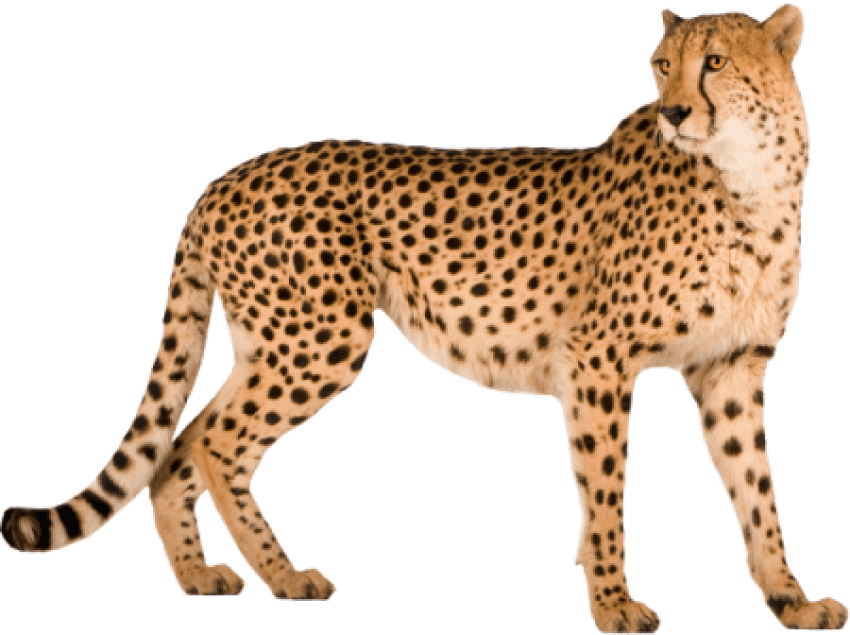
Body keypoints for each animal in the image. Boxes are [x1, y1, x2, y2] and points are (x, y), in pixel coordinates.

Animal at [1, 3, 846, 633]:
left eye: (716, 63)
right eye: (661, 64)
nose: (673, 111)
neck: (753, 176)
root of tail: (223, 177)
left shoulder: (730, 367)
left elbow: (758, 489)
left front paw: (791, 598)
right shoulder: (598, 359)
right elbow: (606, 491)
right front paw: (612, 602)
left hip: (271, 342)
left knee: (177, 440)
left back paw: (199, 573)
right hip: (322, 338)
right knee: (212, 439)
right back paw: (284, 575)